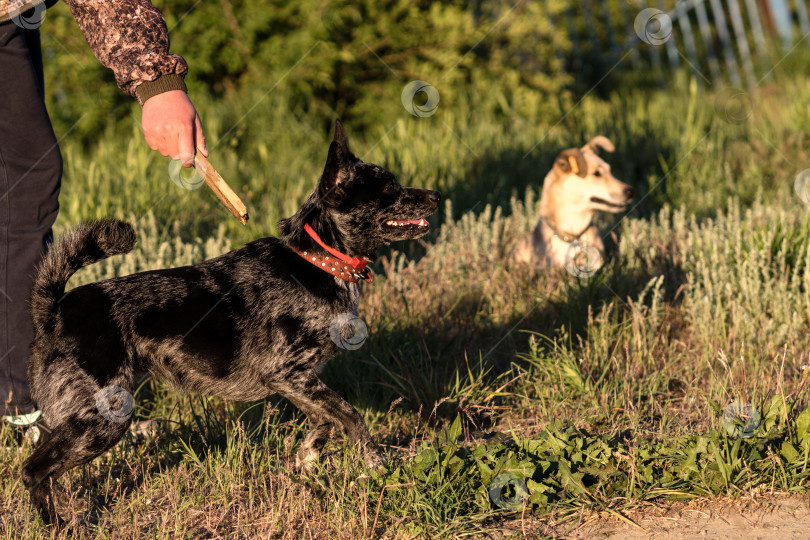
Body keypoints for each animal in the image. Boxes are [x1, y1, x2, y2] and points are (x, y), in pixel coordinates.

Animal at [22, 120, 438, 524]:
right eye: (390, 187)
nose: (435, 195)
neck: (317, 259)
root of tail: (52, 310)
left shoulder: (298, 382)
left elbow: (325, 420)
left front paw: (307, 460)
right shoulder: (286, 372)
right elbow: (350, 415)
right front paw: (377, 466)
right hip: (106, 414)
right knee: (34, 470)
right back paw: (59, 525)